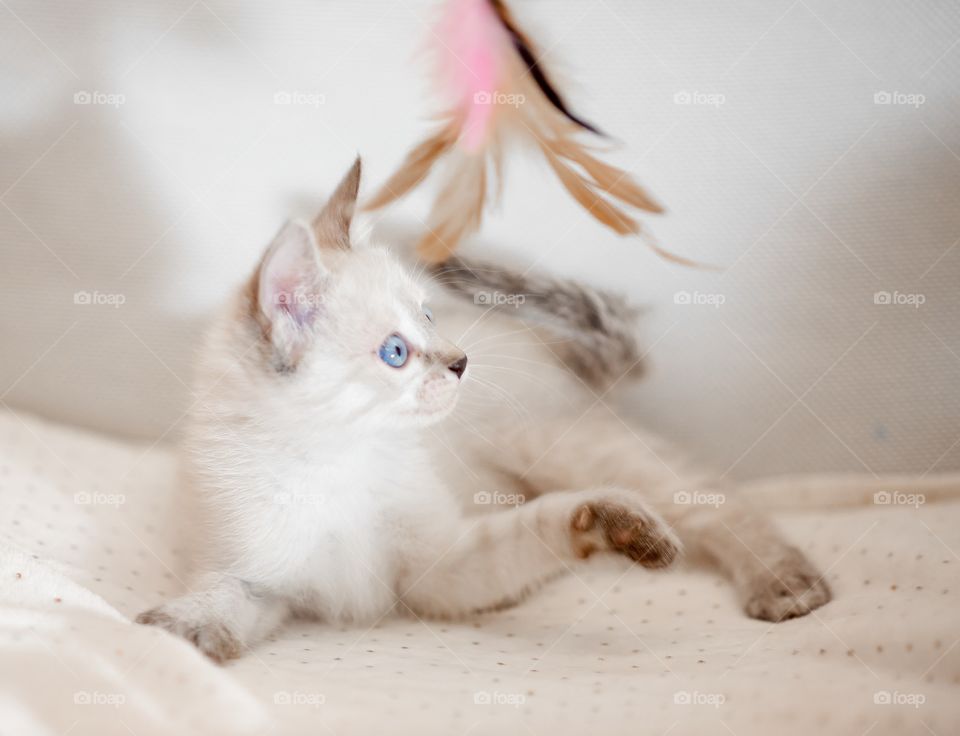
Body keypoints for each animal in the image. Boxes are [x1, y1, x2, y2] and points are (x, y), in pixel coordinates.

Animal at [137, 160, 832, 660]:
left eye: (427, 315)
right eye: (396, 352)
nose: (460, 362)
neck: (336, 456)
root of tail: (539, 342)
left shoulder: (437, 568)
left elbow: (544, 524)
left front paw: (620, 526)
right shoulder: (265, 578)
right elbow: (222, 599)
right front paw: (177, 629)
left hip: (556, 443)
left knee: (717, 503)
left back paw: (786, 587)